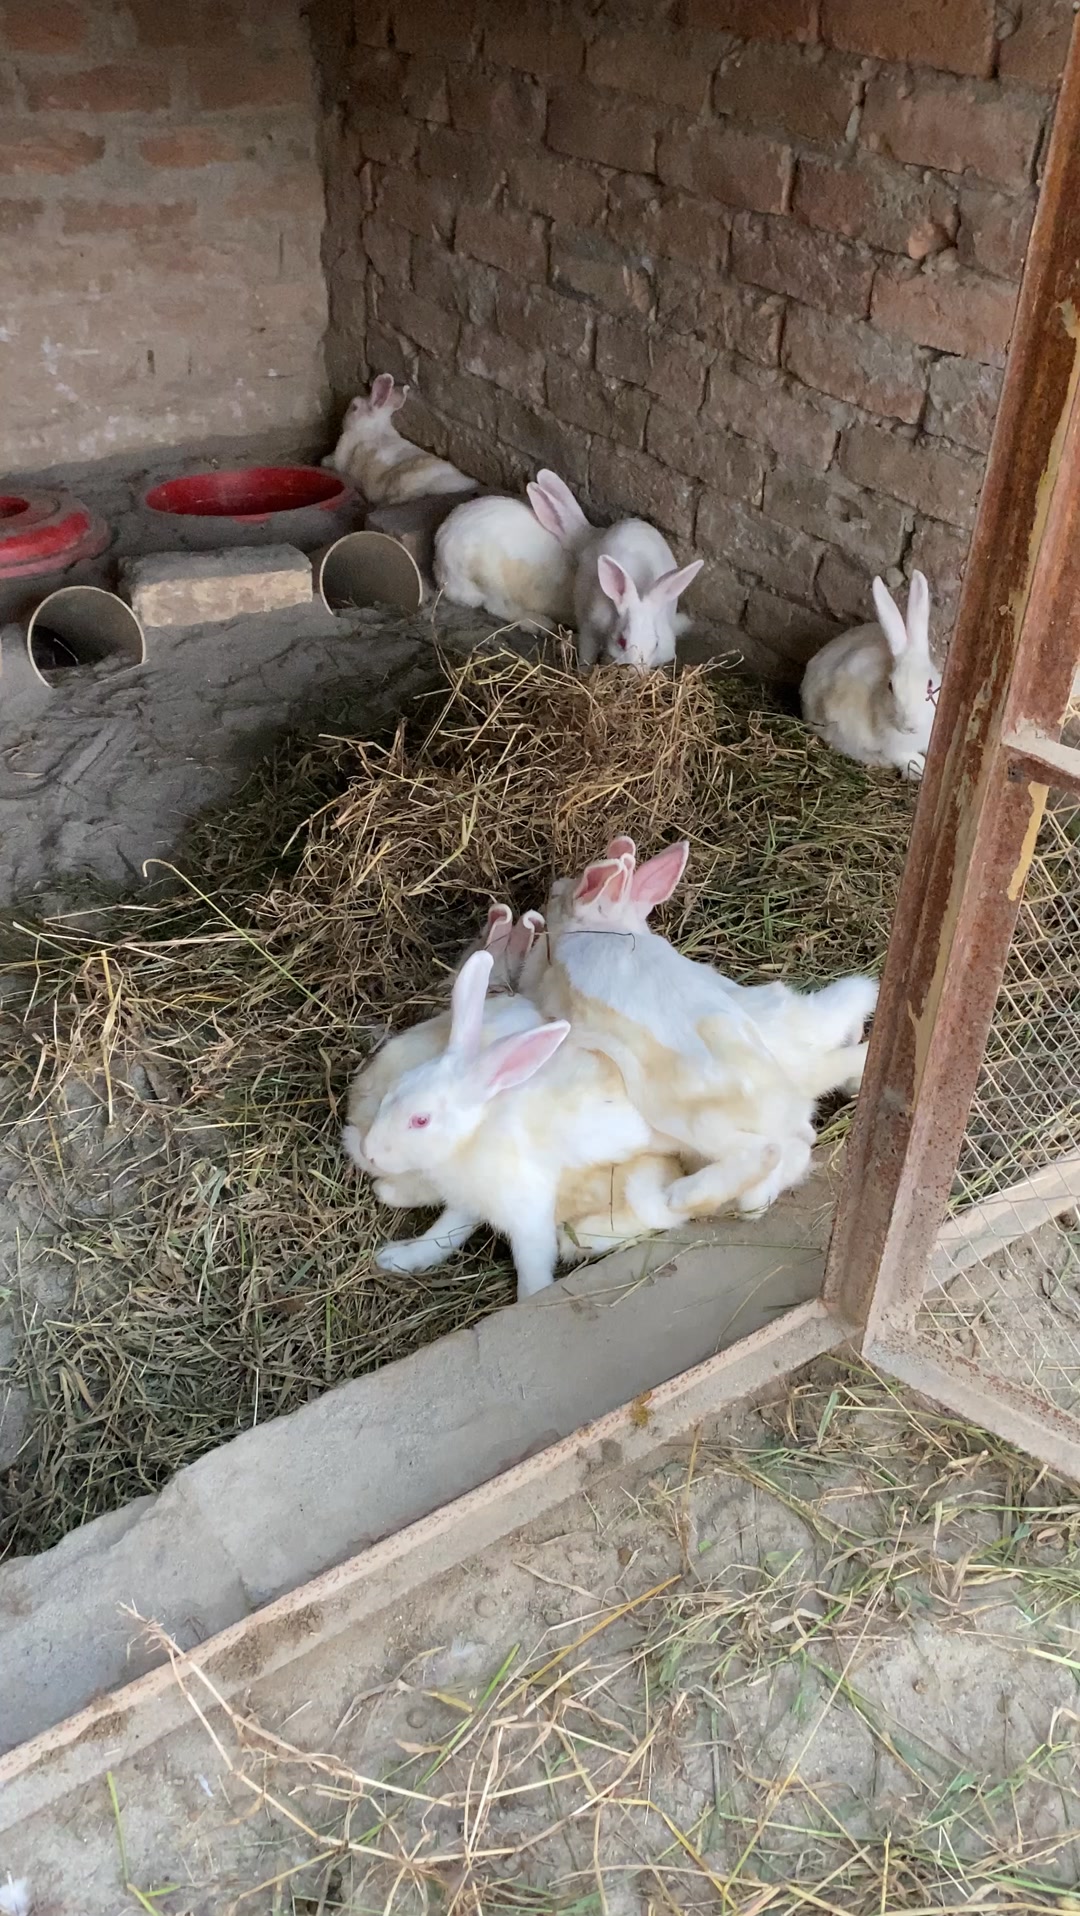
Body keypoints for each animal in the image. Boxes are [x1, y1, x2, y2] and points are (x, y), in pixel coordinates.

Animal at [574, 520, 703, 670]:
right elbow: (587, 654)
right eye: (622, 642)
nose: (634, 670)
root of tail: (633, 521)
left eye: (656, 644)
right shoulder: (589, 627)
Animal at [800, 570, 941, 779]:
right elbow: (907, 758)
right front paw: (920, 771)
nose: (909, 726)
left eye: (930, 685)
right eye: (891, 687)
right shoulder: (893, 747)